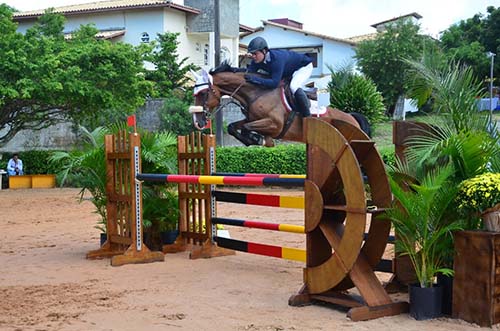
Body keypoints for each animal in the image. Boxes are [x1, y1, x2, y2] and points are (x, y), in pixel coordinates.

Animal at [189, 61, 370, 147]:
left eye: (203, 94)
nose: (198, 123)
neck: (257, 93)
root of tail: (352, 118)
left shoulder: (275, 124)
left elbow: (248, 128)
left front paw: (258, 140)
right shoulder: (252, 119)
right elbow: (233, 127)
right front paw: (256, 140)